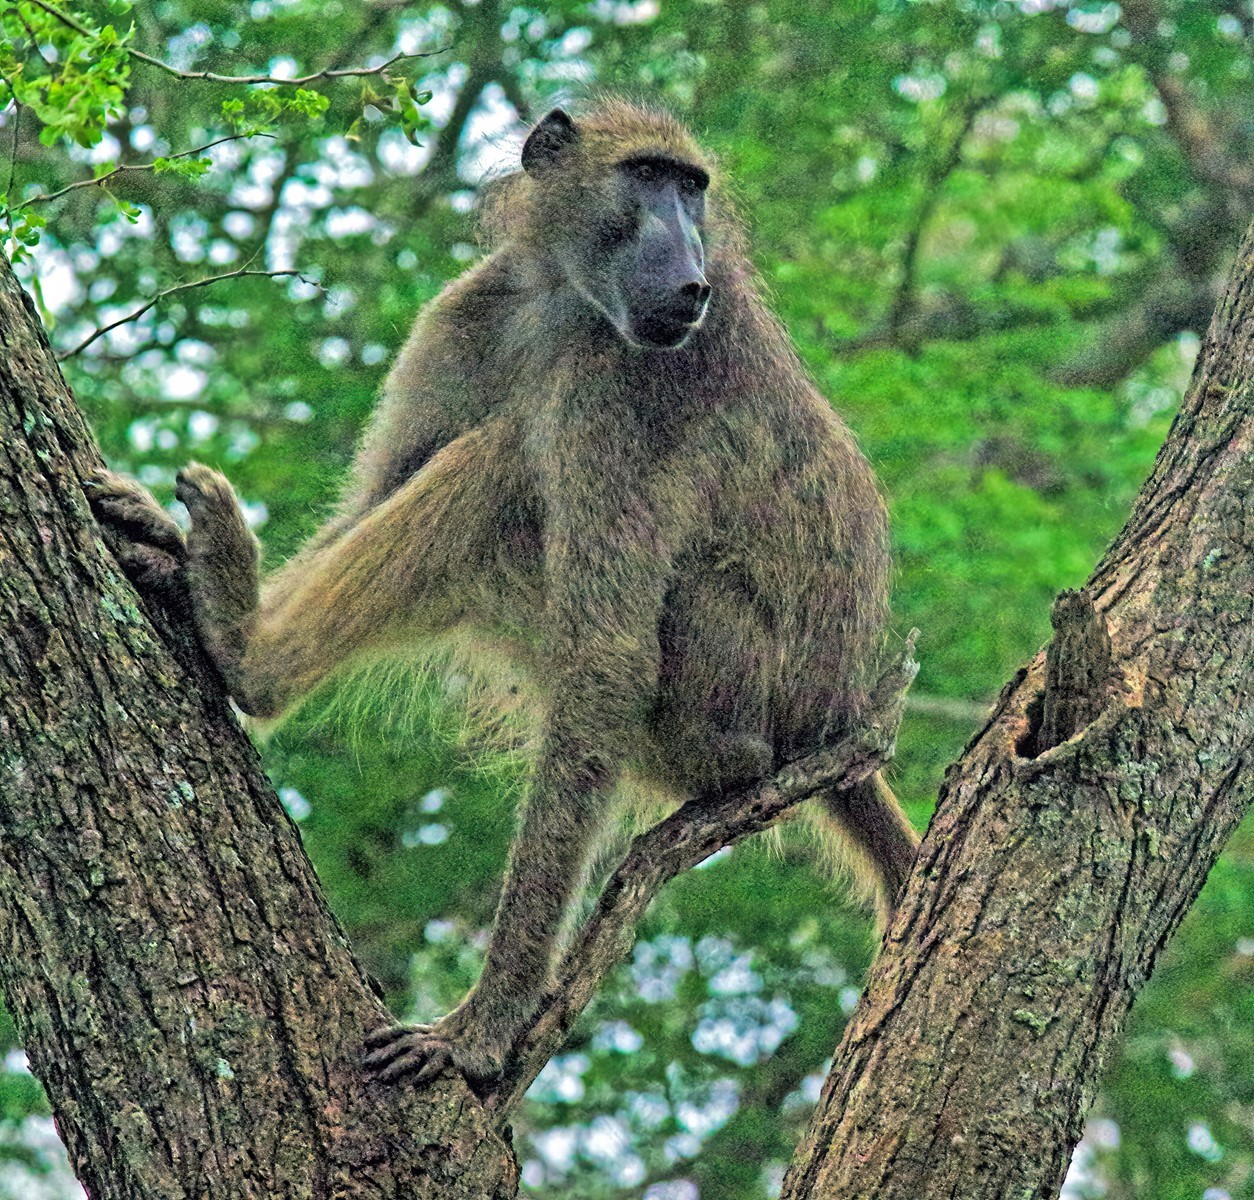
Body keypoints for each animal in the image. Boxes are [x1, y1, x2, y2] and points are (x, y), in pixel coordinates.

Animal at [87, 98, 920, 1088]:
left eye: (693, 189)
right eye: (649, 177)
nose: (692, 282)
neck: (559, 297)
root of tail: (830, 715)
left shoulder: (620, 392)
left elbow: (607, 655)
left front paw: (481, 1026)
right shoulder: (467, 313)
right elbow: (368, 501)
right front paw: (176, 552)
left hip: (721, 677)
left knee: (505, 467)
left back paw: (248, 661)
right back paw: (230, 613)